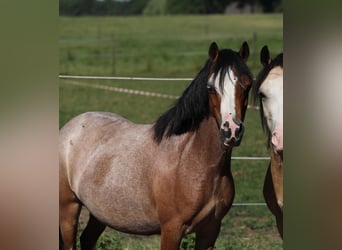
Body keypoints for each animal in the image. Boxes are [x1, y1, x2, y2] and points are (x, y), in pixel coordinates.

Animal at [58, 42, 252, 249]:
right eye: (210, 88)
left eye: (248, 84)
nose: (231, 130)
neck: (192, 159)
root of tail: (70, 127)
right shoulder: (171, 229)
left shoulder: (210, 231)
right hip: (68, 208)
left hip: (99, 213)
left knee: (87, 239)